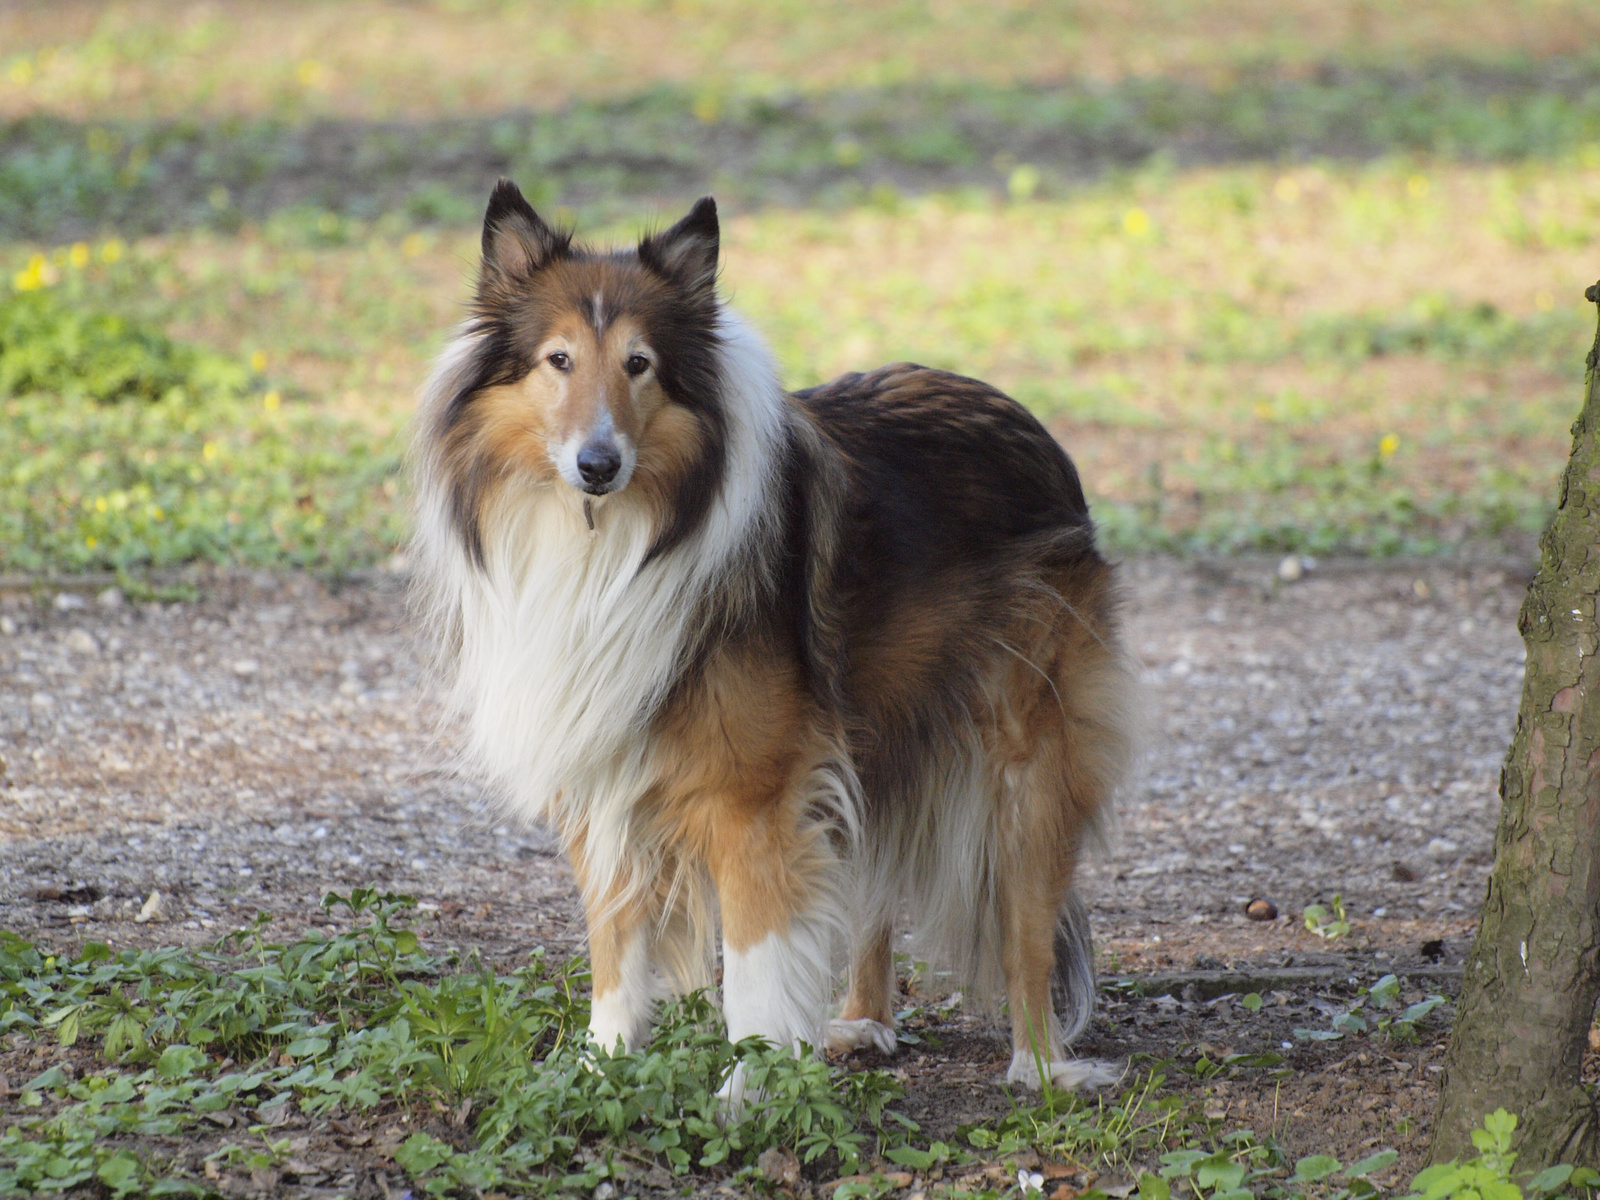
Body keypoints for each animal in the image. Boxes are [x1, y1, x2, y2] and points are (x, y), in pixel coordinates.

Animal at [412, 180, 1139, 1100]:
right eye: (559, 360)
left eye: (640, 364)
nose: (597, 465)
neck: (613, 542)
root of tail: (1023, 418)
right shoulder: (604, 774)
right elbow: (616, 946)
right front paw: (601, 1066)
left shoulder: (751, 798)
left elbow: (755, 970)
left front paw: (746, 1091)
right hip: (869, 732)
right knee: (870, 888)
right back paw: (862, 1019)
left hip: (1025, 762)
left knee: (1027, 932)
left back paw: (1040, 1068)